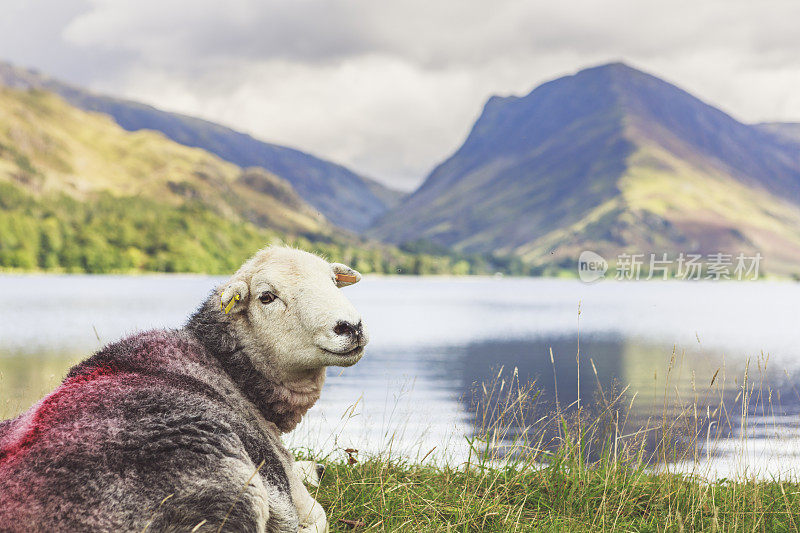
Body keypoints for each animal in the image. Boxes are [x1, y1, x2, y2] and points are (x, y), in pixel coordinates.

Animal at [0, 246, 368, 532]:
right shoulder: (286, 483)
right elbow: (317, 515)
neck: (228, 367)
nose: (350, 327)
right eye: (267, 296)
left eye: (333, 281)